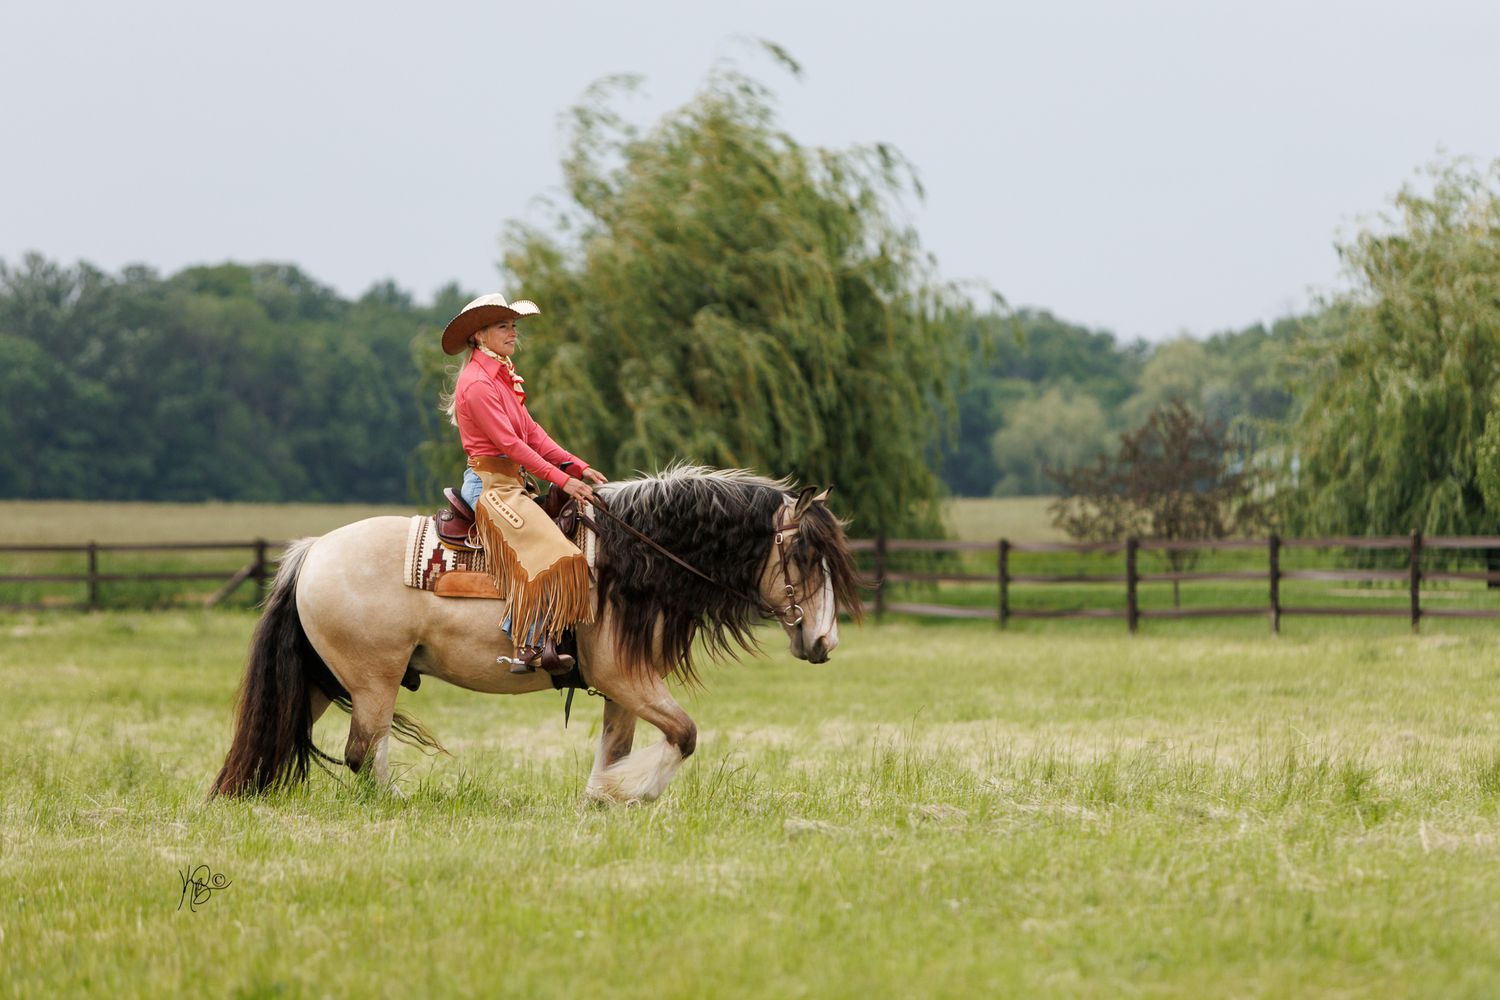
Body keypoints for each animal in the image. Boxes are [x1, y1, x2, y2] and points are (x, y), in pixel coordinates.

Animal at [211, 466, 864, 804]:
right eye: (804, 555)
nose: (825, 642)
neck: (630, 558)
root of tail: (312, 550)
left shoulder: (621, 687)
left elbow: (618, 746)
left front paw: (603, 794)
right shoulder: (625, 677)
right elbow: (684, 735)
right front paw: (628, 790)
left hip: (326, 679)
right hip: (374, 680)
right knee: (363, 751)